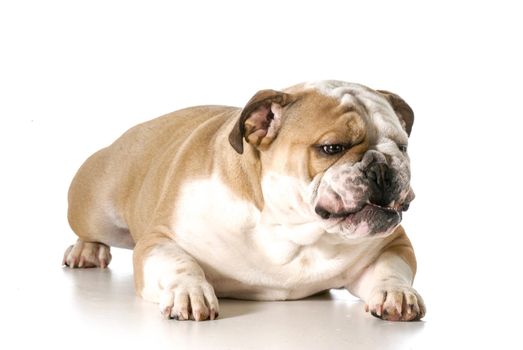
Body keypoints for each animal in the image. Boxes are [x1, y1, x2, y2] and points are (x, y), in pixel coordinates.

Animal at [64, 80, 426, 322]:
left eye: (402, 147)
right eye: (332, 148)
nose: (382, 166)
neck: (292, 232)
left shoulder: (391, 244)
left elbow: (390, 269)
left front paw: (397, 293)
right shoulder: (160, 239)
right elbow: (180, 263)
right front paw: (189, 292)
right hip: (96, 209)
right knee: (90, 230)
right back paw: (87, 250)